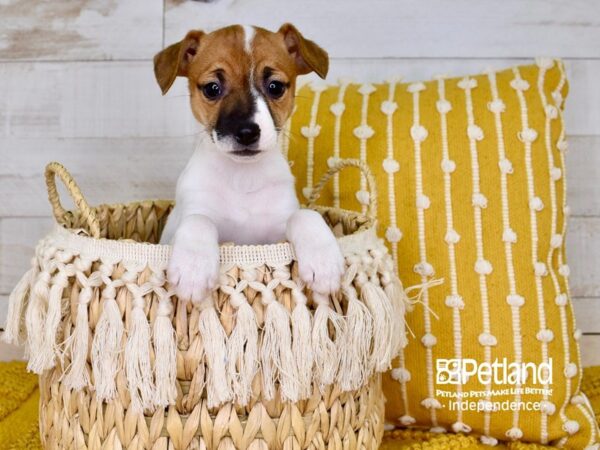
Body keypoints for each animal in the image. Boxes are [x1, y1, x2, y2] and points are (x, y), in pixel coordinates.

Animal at [152, 22, 344, 302]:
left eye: (275, 87)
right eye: (212, 88)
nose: (246, 132)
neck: (242, 177)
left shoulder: (276, 233)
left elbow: (305, 215)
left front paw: (324, 261)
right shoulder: (190, 214)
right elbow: (199, 220)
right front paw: (193, 268)